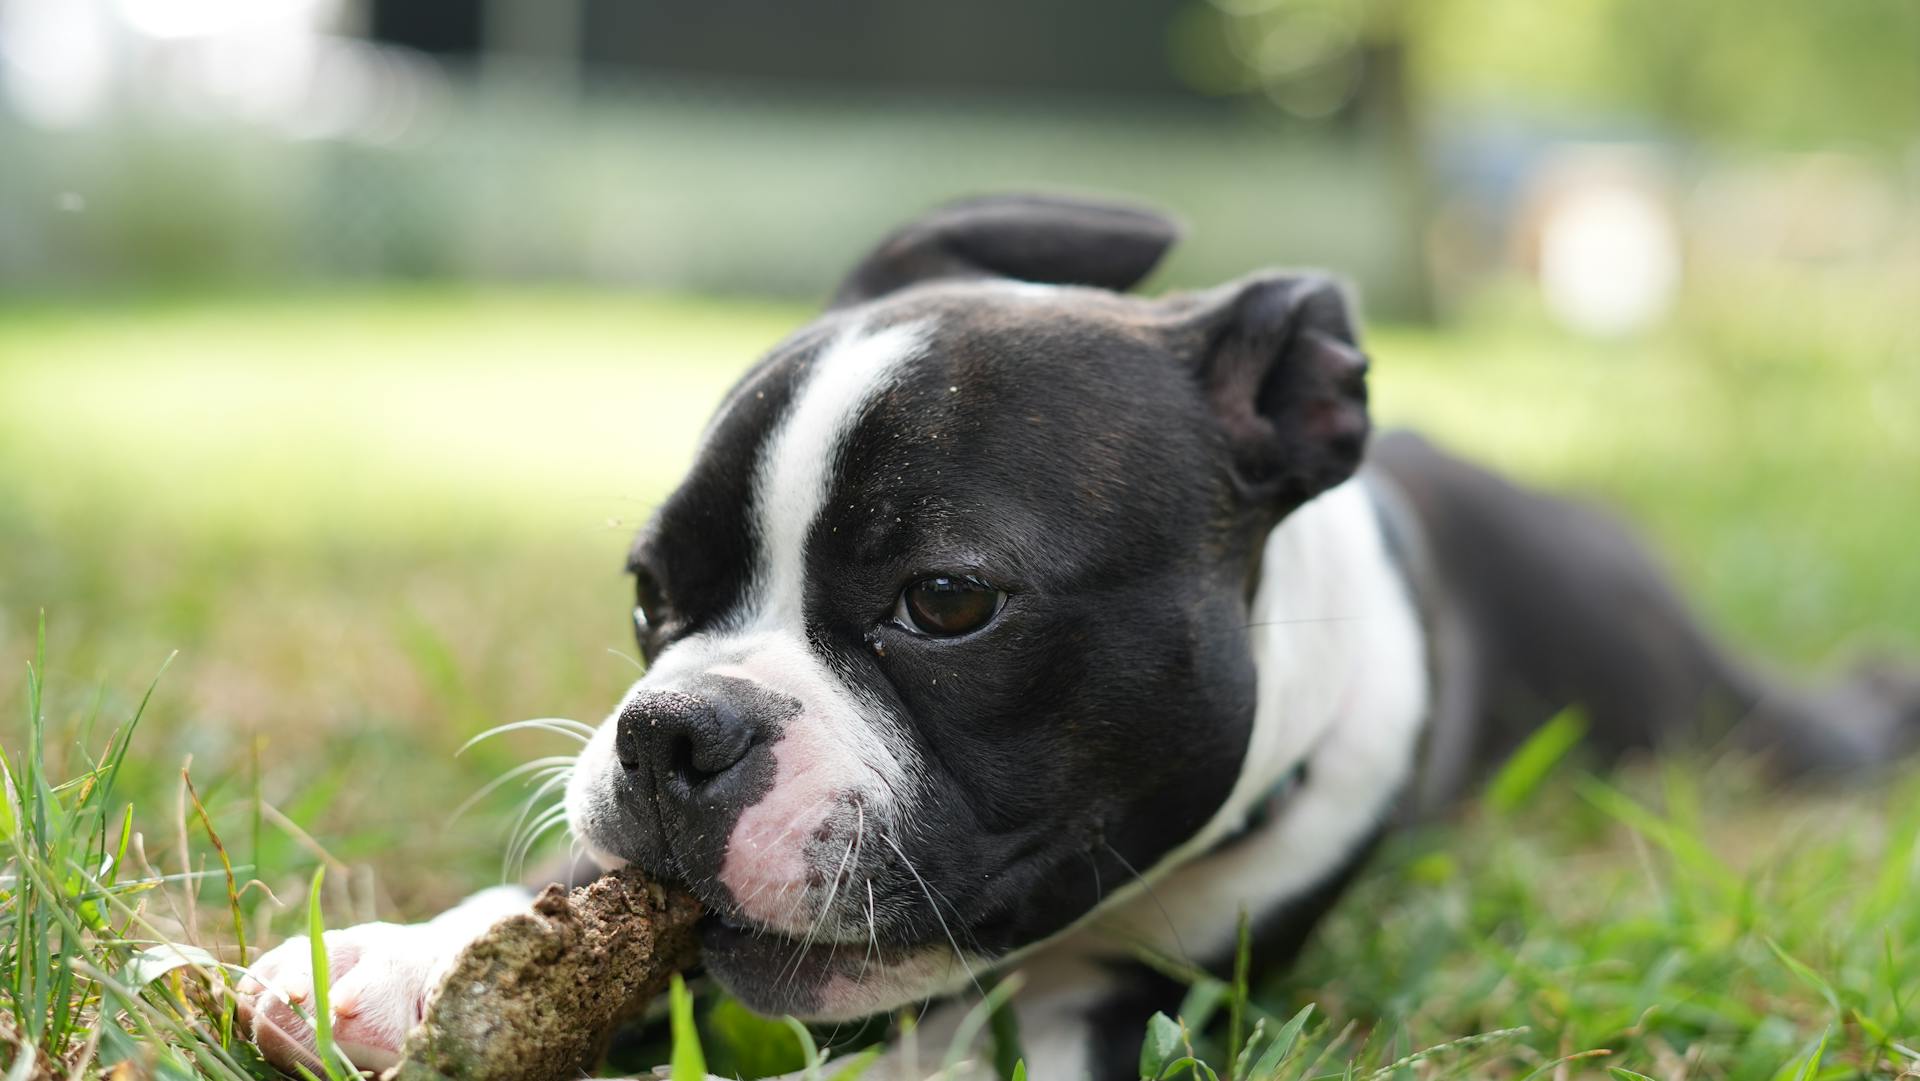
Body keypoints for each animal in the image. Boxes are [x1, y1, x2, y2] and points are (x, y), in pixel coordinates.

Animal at [232, 196, 1912, 1081]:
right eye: (650, 594)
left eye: (947, 602)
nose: (670, 729)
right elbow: (572, 893)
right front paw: (401, 959)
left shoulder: (1148, 995)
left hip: (1707, 701)